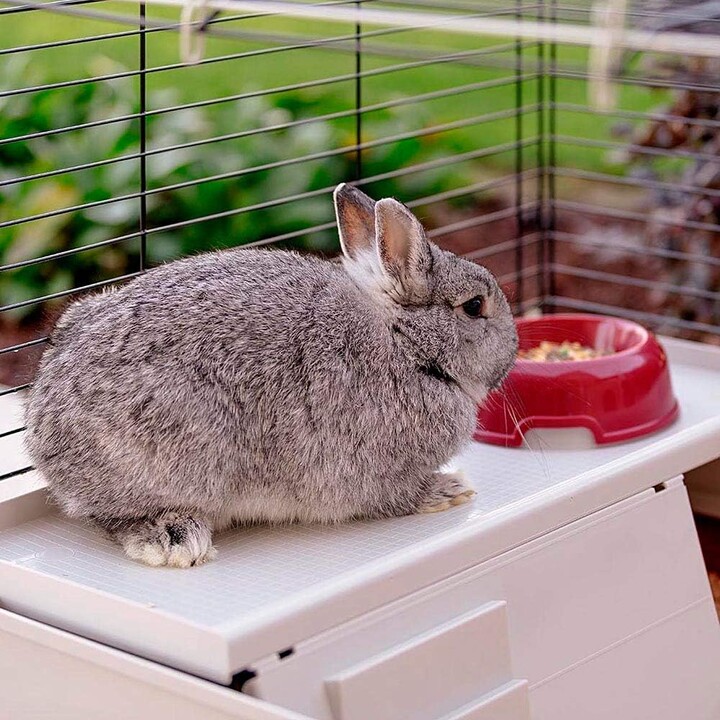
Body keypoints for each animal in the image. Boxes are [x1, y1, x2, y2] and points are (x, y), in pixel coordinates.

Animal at [24, 184, 518, 568]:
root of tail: (41, 434)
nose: (512, 352)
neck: (404, 341)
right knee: (114, 515)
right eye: (475, 306)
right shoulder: (375, 471)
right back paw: (172, 539)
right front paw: (449, 490)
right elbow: (398, 496)